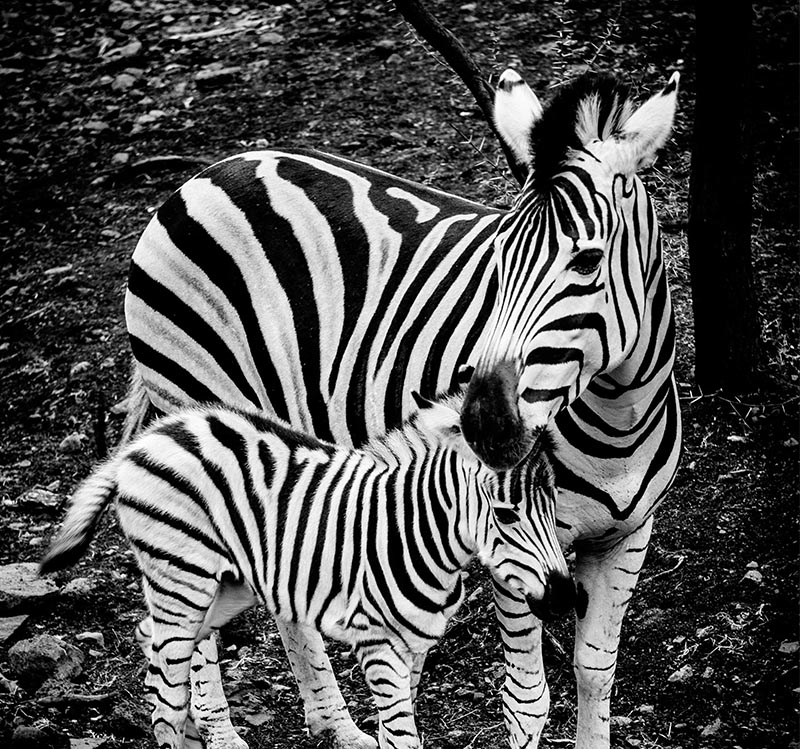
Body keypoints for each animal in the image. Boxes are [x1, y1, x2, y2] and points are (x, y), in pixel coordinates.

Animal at [40, 392, 572, 748]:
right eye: (506, 514)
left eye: (555, 502)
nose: (566, 598)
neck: (414, 531)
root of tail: (142, 442)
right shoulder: (376, 640)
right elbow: (402, 735)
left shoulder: (414, 644)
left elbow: (396, 730)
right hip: (183, 576)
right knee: (165, 690)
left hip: (225, 587)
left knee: (152, 639)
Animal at [123, 71, 680, 748]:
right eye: (497, 258)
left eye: (587, 260)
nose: (481, 424)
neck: (615, 420)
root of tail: (207, 173)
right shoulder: (507, 547)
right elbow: (527, 701)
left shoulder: (628, 538)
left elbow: (596, 672)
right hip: (192, 411)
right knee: (188, 614)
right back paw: (221, 731)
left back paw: (337, 727)